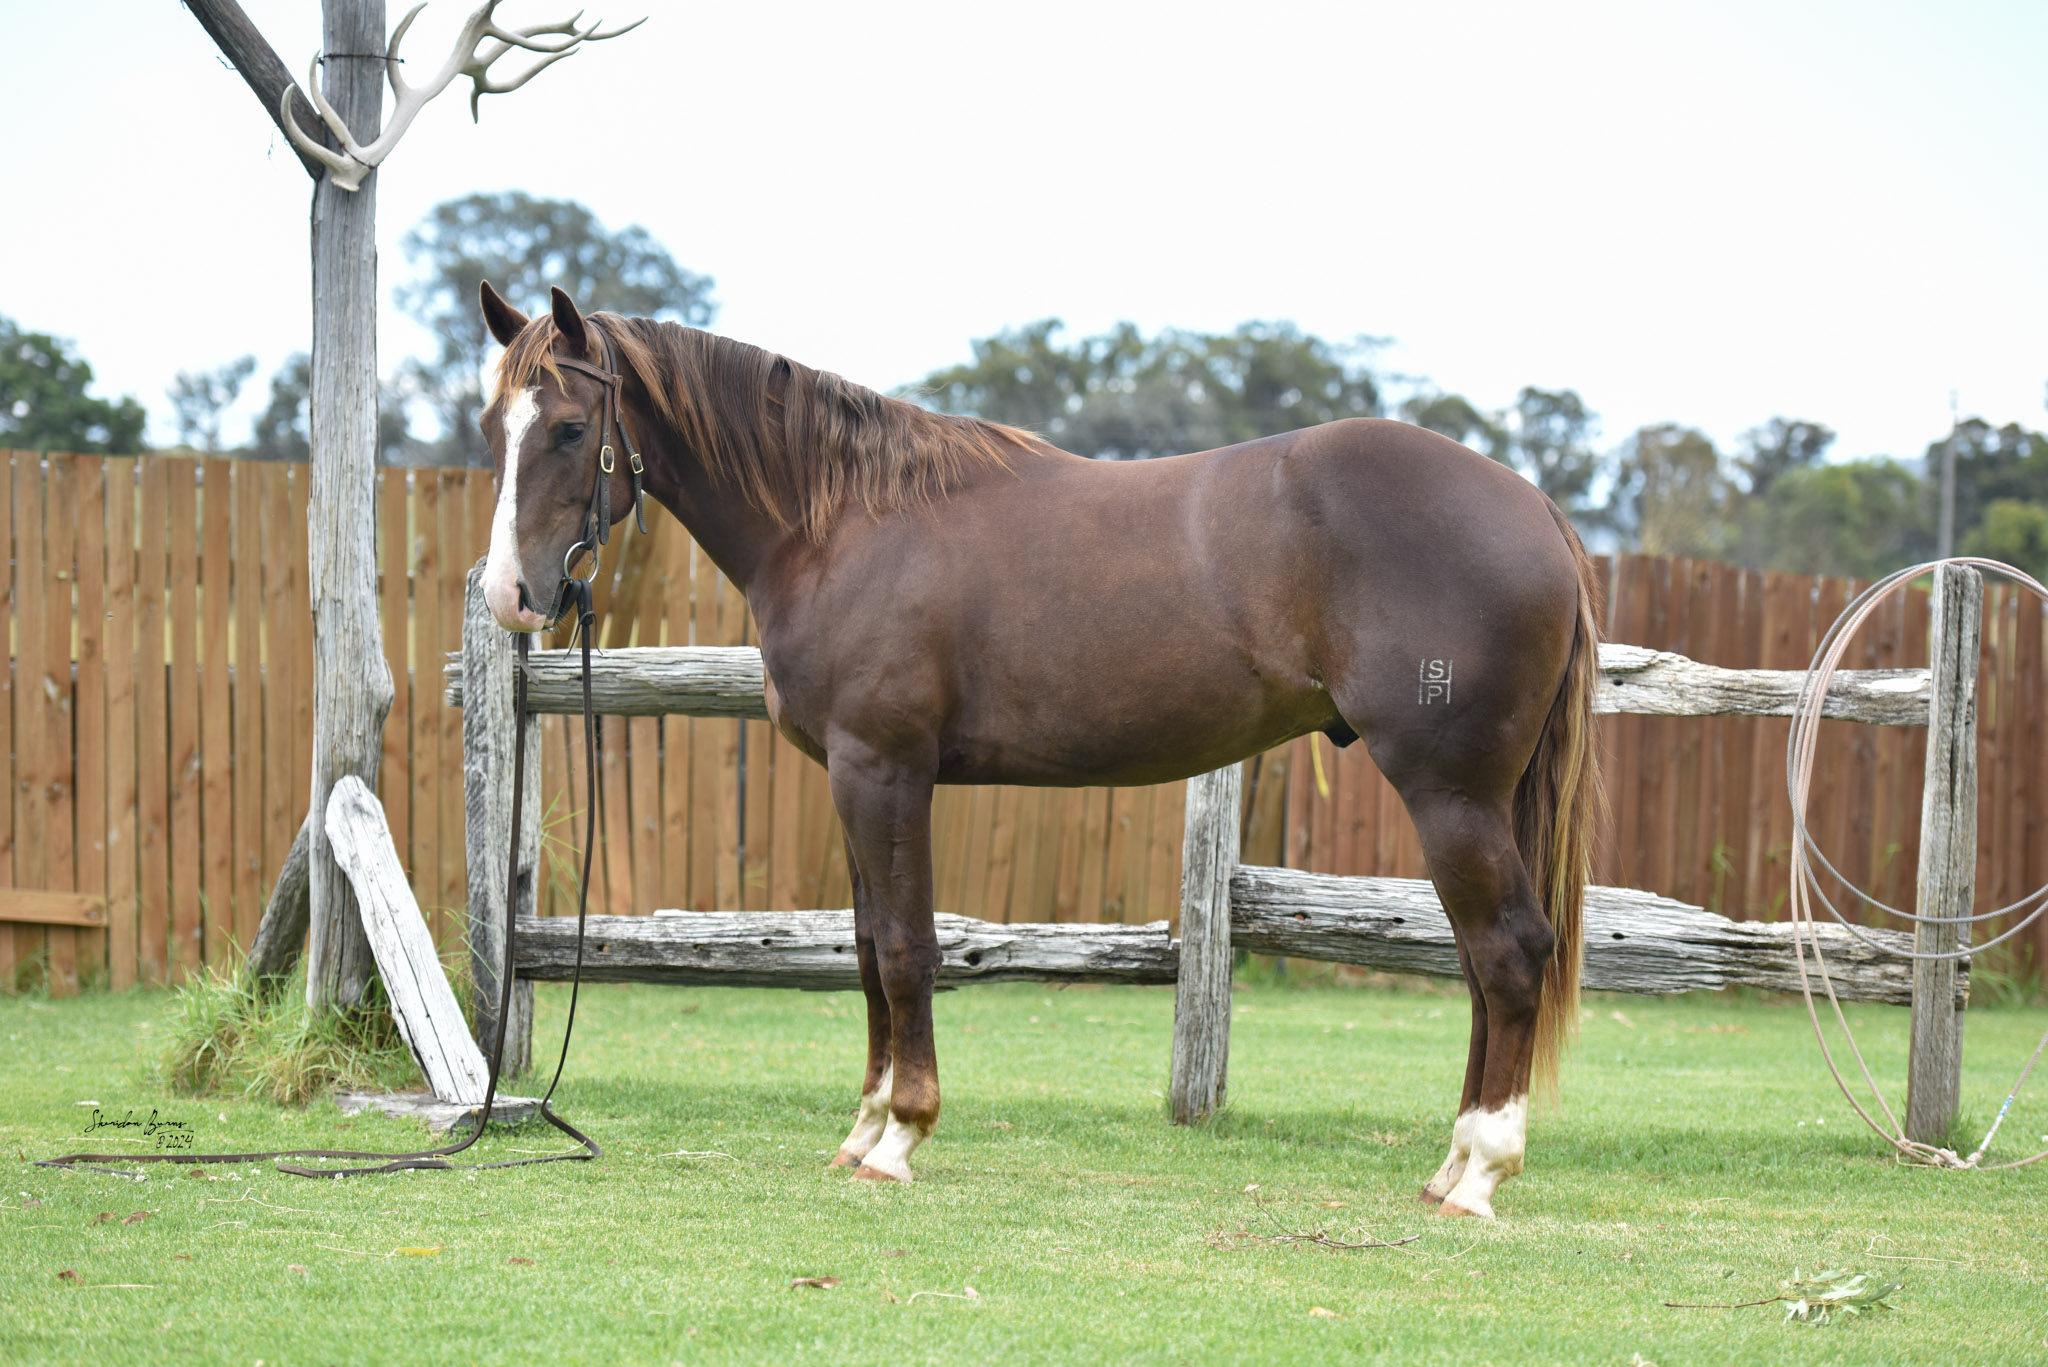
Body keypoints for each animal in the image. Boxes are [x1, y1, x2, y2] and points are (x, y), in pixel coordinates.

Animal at [475, 283, 1601, 1220]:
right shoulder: (849, 777)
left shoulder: (885, 769)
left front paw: (901, 1137)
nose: (510, 595)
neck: (841, 524)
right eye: (494, 427)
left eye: (570, 427)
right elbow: (867, 951)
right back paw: (1448, 1167)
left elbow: (906, 949)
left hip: (1450, 792)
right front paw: (861, 1130)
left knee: (1508, 952)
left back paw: (1481, 1172)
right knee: (1478, 963)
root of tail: (1536, 506)